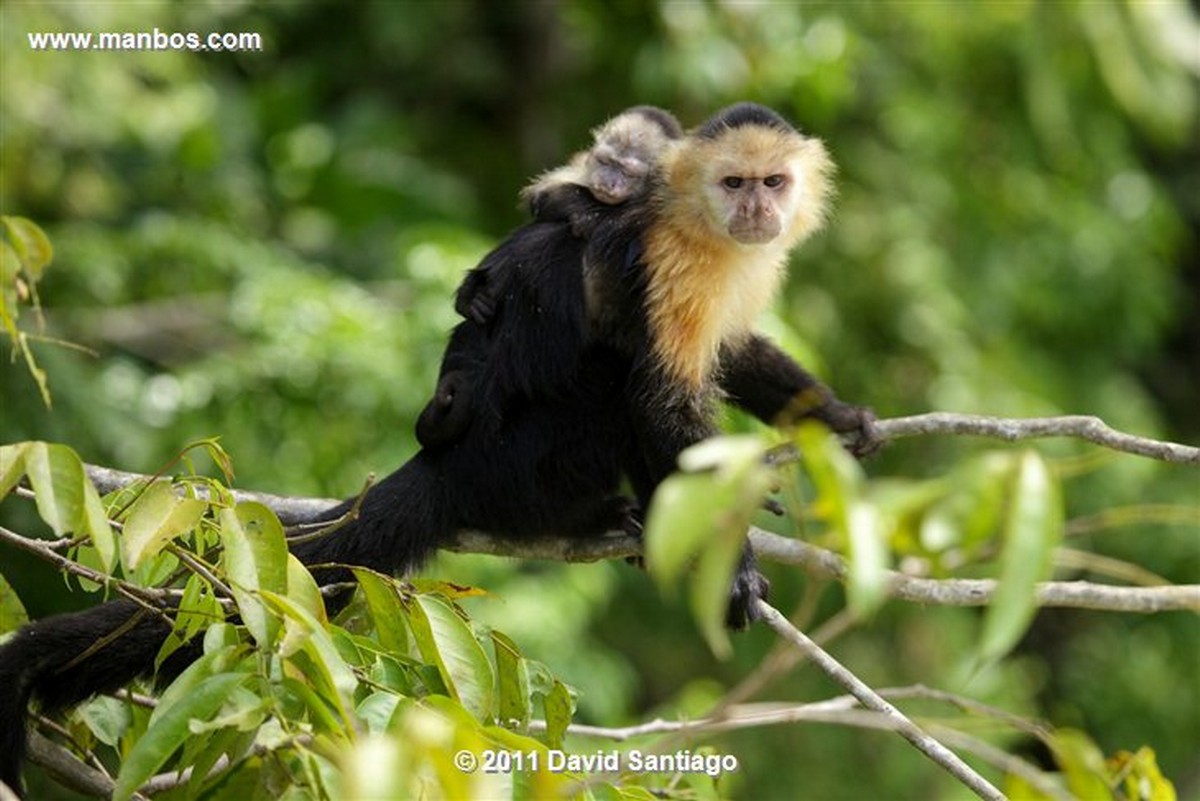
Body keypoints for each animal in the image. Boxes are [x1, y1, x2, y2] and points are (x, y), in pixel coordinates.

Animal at [417, 104, 686, 450]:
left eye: (627, 172)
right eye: (607, 163)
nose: (608, 183)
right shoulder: (583, 167)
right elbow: (544, 196)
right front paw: (583, 211)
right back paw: (474, 296)